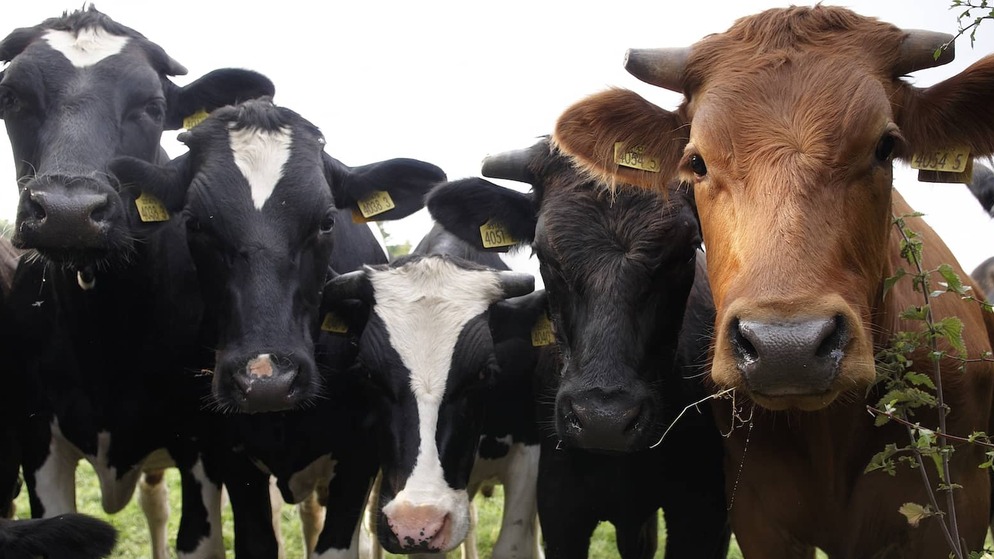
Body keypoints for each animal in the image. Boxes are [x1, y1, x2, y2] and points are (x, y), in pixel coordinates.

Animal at [549, 6, 994, 557]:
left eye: (885, 147)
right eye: (696, 161)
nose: (788, 348)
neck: (830, 432)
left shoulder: (954, 513)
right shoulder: (758, 518)